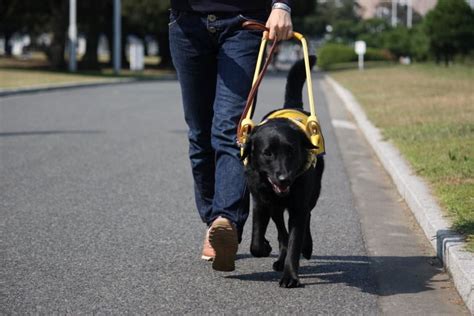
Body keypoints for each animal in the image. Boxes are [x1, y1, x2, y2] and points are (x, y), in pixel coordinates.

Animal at [243, 55, 324, 288]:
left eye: (291, 151)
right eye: (267, 153)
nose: (284, 179)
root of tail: (292, 107)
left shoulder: (298, 207)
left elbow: (295, 241)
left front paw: (290, 276)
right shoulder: (261, 201)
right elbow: (256, 243)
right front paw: (266, 247)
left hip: (312, 195)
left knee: (306, 218)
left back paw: (306, 246)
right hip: (275, 207)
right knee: (281, 230)